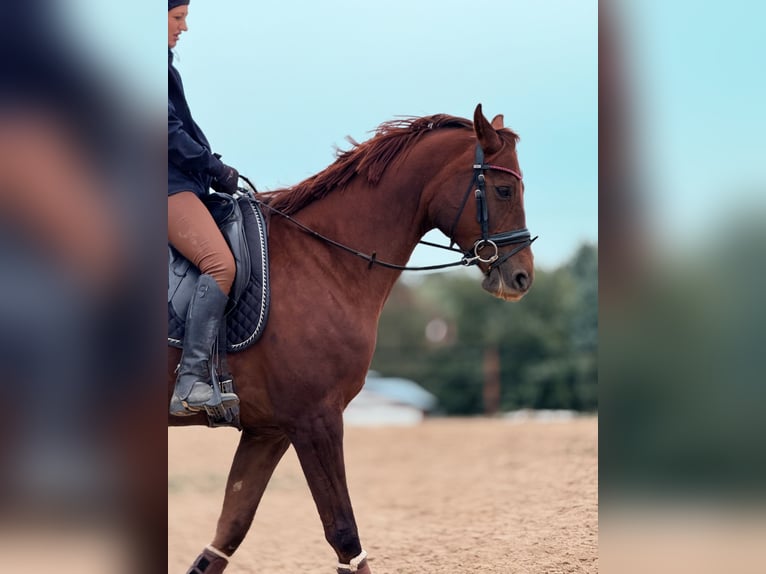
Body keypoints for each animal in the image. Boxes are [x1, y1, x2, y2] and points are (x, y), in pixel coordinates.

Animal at [168, 104, 535, 574]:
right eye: (505, 190)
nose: (522, 276)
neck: (324, 260)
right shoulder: (316, 419)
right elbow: (344, 534)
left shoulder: (268, 430)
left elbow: (229, 531)